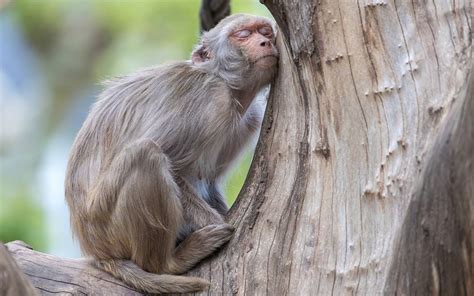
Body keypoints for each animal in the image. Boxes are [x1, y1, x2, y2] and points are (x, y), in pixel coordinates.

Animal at [63, 13, 278, 294]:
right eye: (243, 35)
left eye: (265, 32)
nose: (265, 42)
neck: (226, 84)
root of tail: (95, 250)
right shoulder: (209, 99)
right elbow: (173, 166)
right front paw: (218, 223)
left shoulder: (249, 119)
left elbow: (208, 181)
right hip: (106, 224)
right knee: (146, 154)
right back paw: (168, 263)